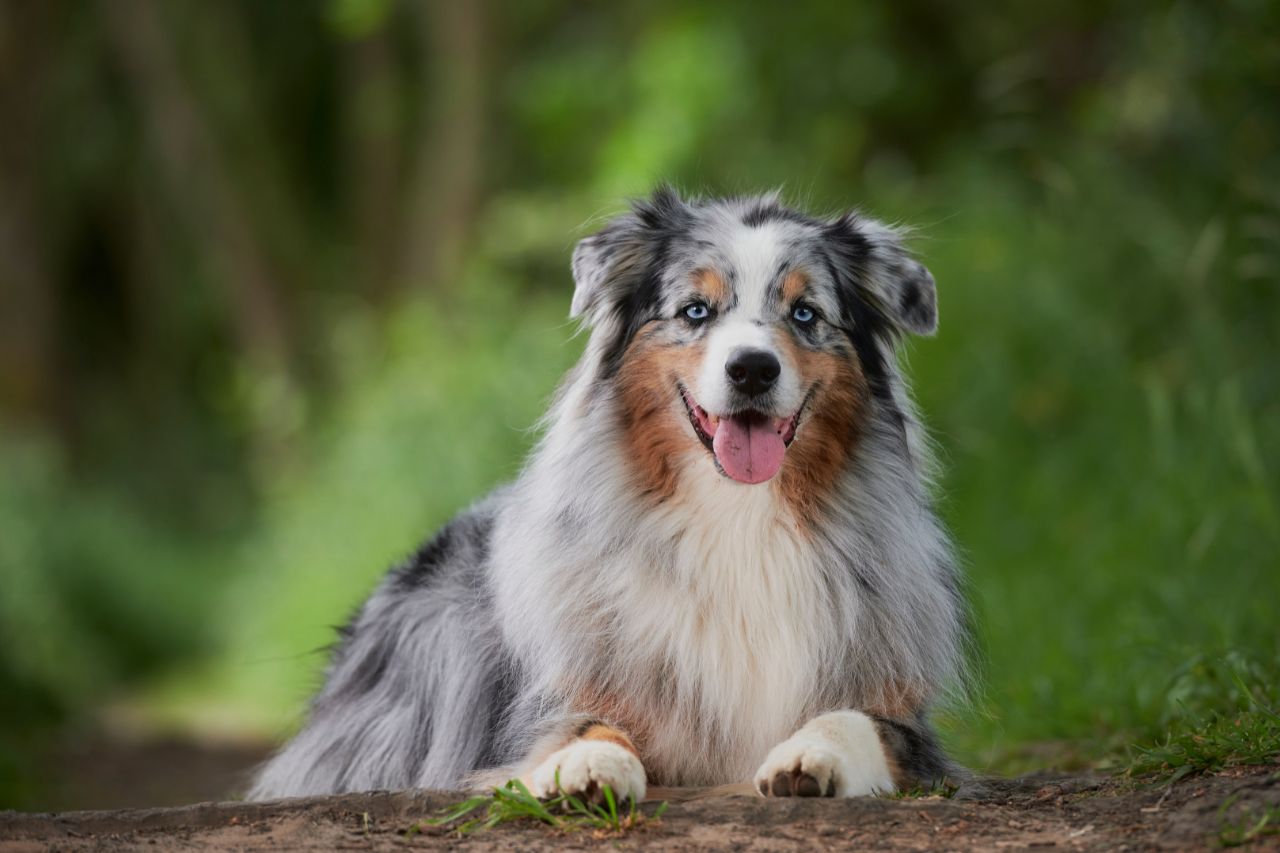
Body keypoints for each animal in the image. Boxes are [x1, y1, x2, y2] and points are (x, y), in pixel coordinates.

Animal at [249, 184, 967, 799]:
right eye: (695, 311)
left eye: (805, 313)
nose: (753, 369)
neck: (736, 516)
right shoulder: (552, 699)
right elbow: (584, 723)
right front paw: (588, 764)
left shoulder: (906, 720)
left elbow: (857, 719)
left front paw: (808, 754)